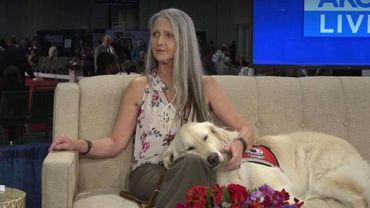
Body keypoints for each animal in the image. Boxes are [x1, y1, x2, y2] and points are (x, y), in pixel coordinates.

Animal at [163, 122, 370, 208]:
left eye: (205, 137)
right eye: (190, 148)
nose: (212, 158)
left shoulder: (279, 187)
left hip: (323, 179)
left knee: (359, 199)